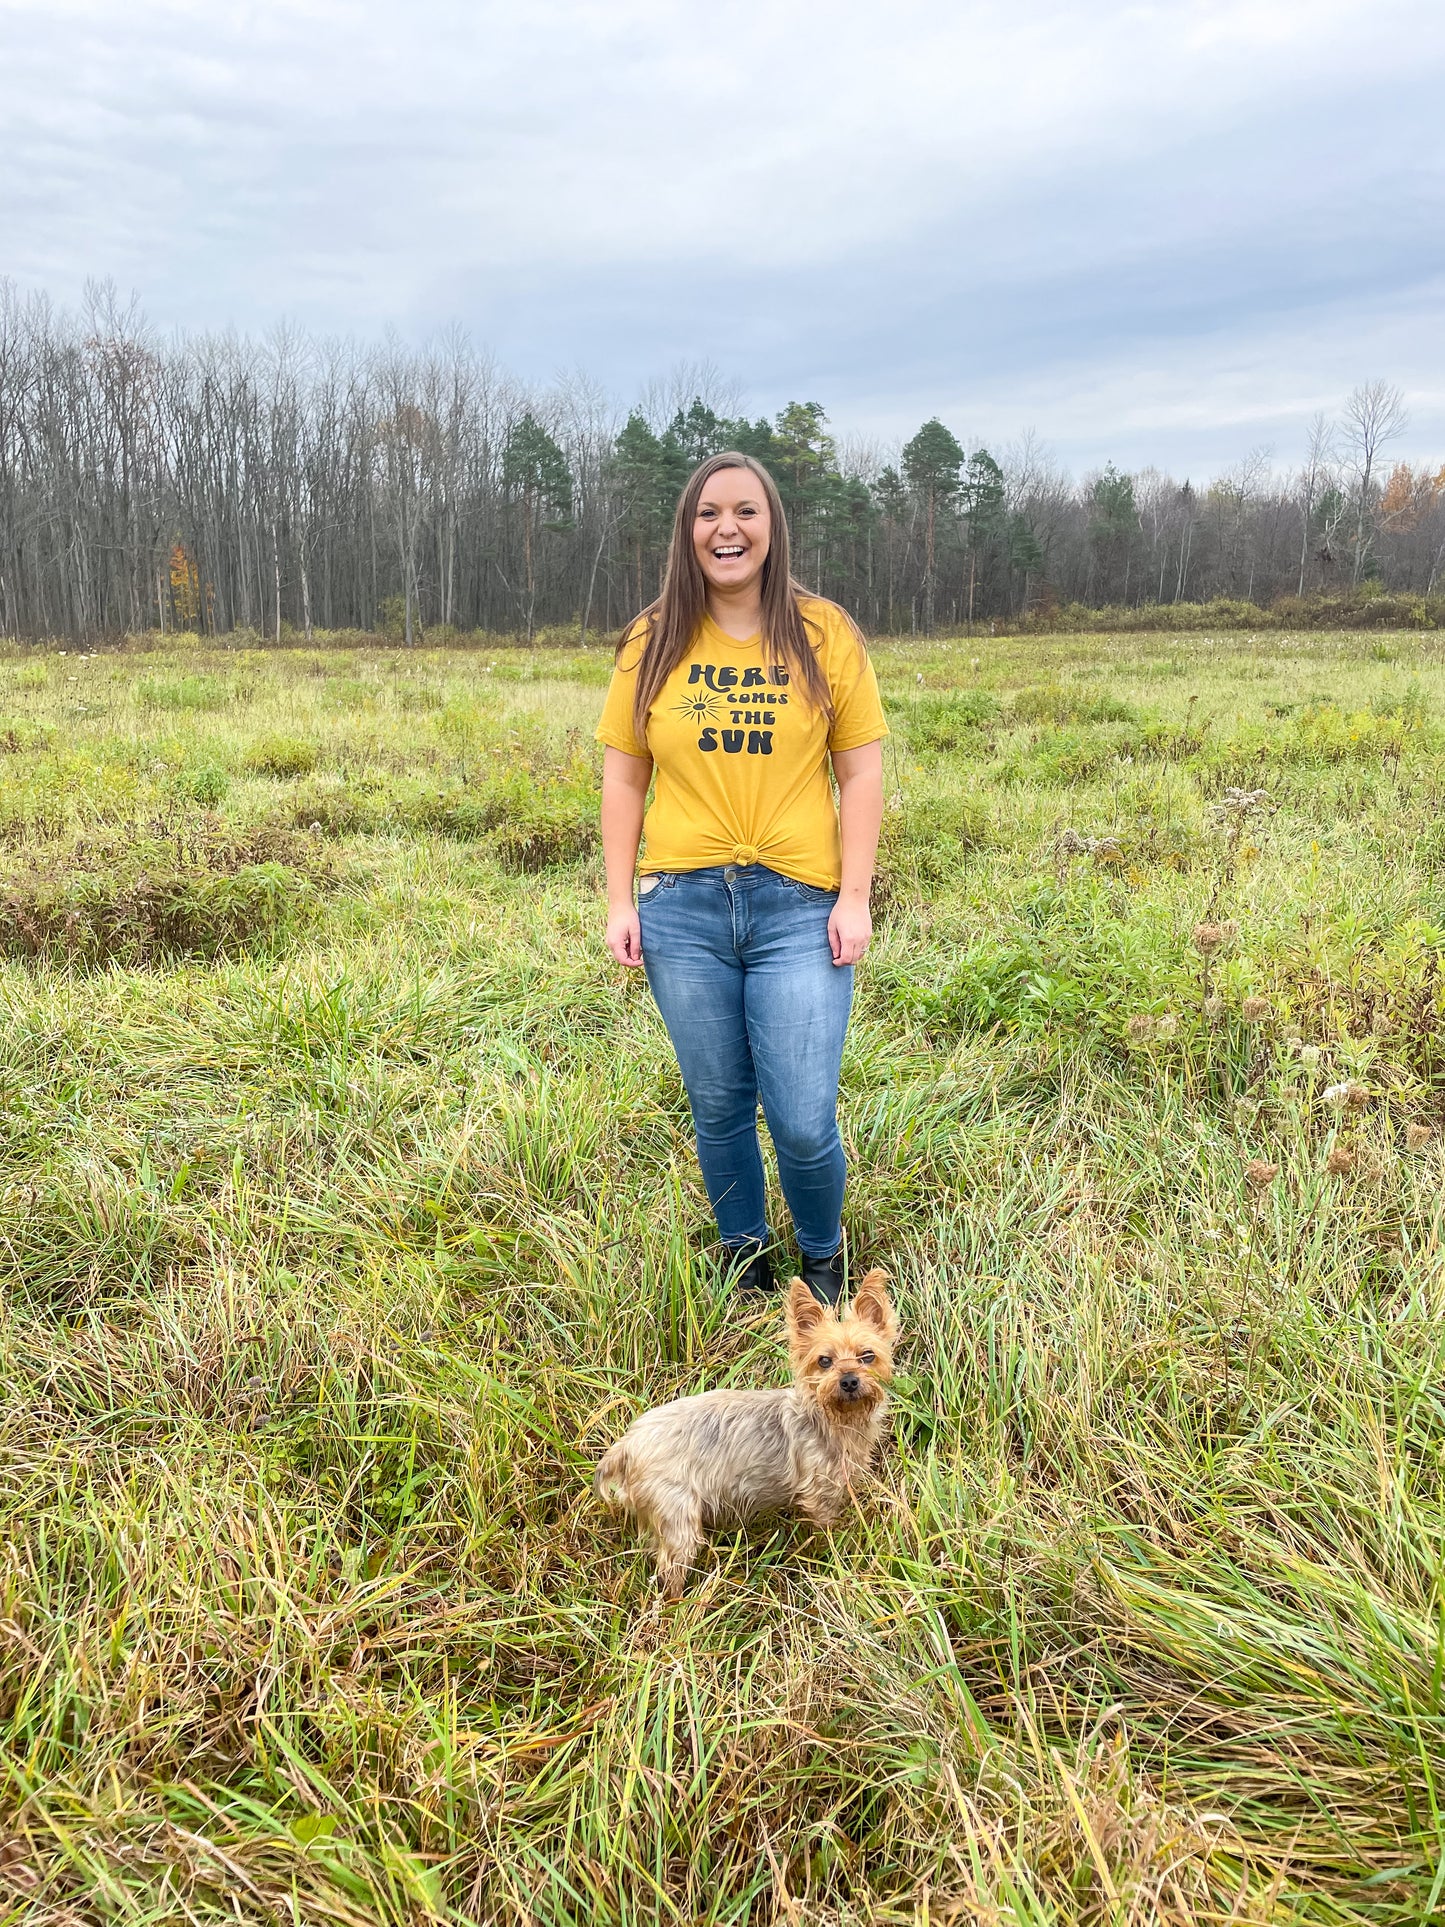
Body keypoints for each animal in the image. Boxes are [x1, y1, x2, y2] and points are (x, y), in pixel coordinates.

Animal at [597, 1264, 893, 1595]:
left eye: (867, 1356)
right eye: (824, 1361)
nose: (849, 1380)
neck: (835, 1418)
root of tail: (627, 1445)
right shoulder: (819, 1495)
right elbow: (826, 1529)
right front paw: (832, 1555)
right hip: (677, 1516)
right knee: (670, 1569)